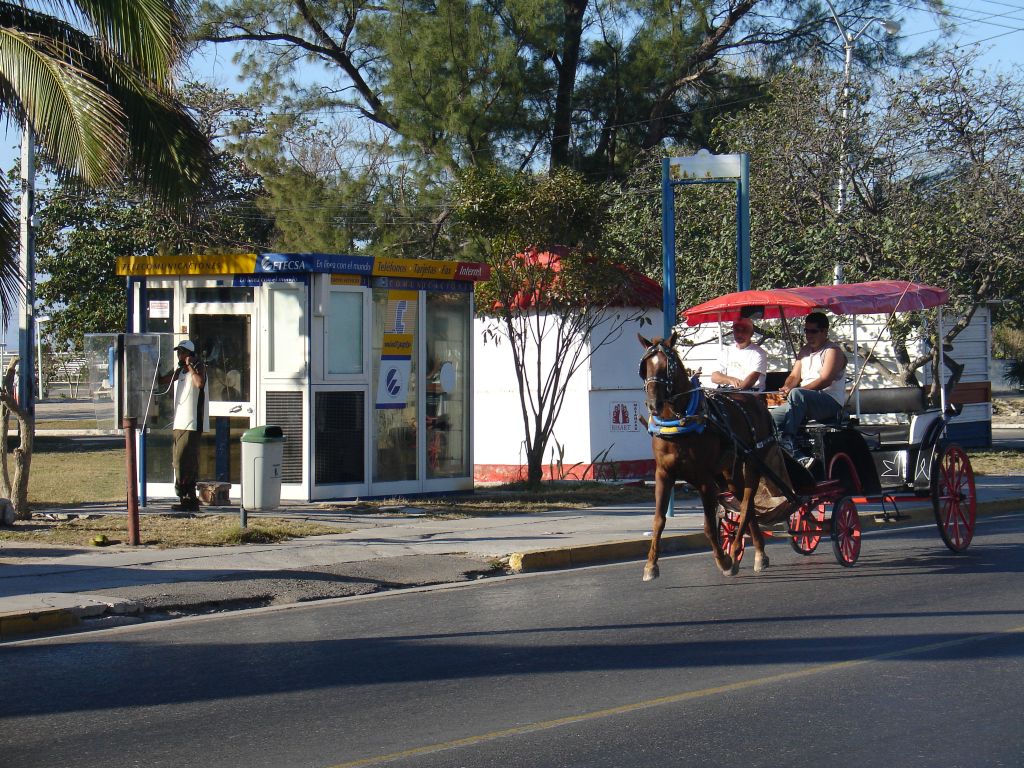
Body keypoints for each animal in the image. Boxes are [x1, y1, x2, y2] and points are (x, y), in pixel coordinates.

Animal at [634, 333, 778, 581]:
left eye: (667, 367)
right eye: (645, 368)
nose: (654, 404)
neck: (678, 422)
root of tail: (756, 401)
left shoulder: (704, 480)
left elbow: (709, 527)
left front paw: (724, 560)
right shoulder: (663, 474)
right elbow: (658, 521)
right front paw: (651, 565)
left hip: (753, 462)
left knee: (747, 503)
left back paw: (739, 550)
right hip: (729, 473)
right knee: (745, 504)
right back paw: (759, 551)